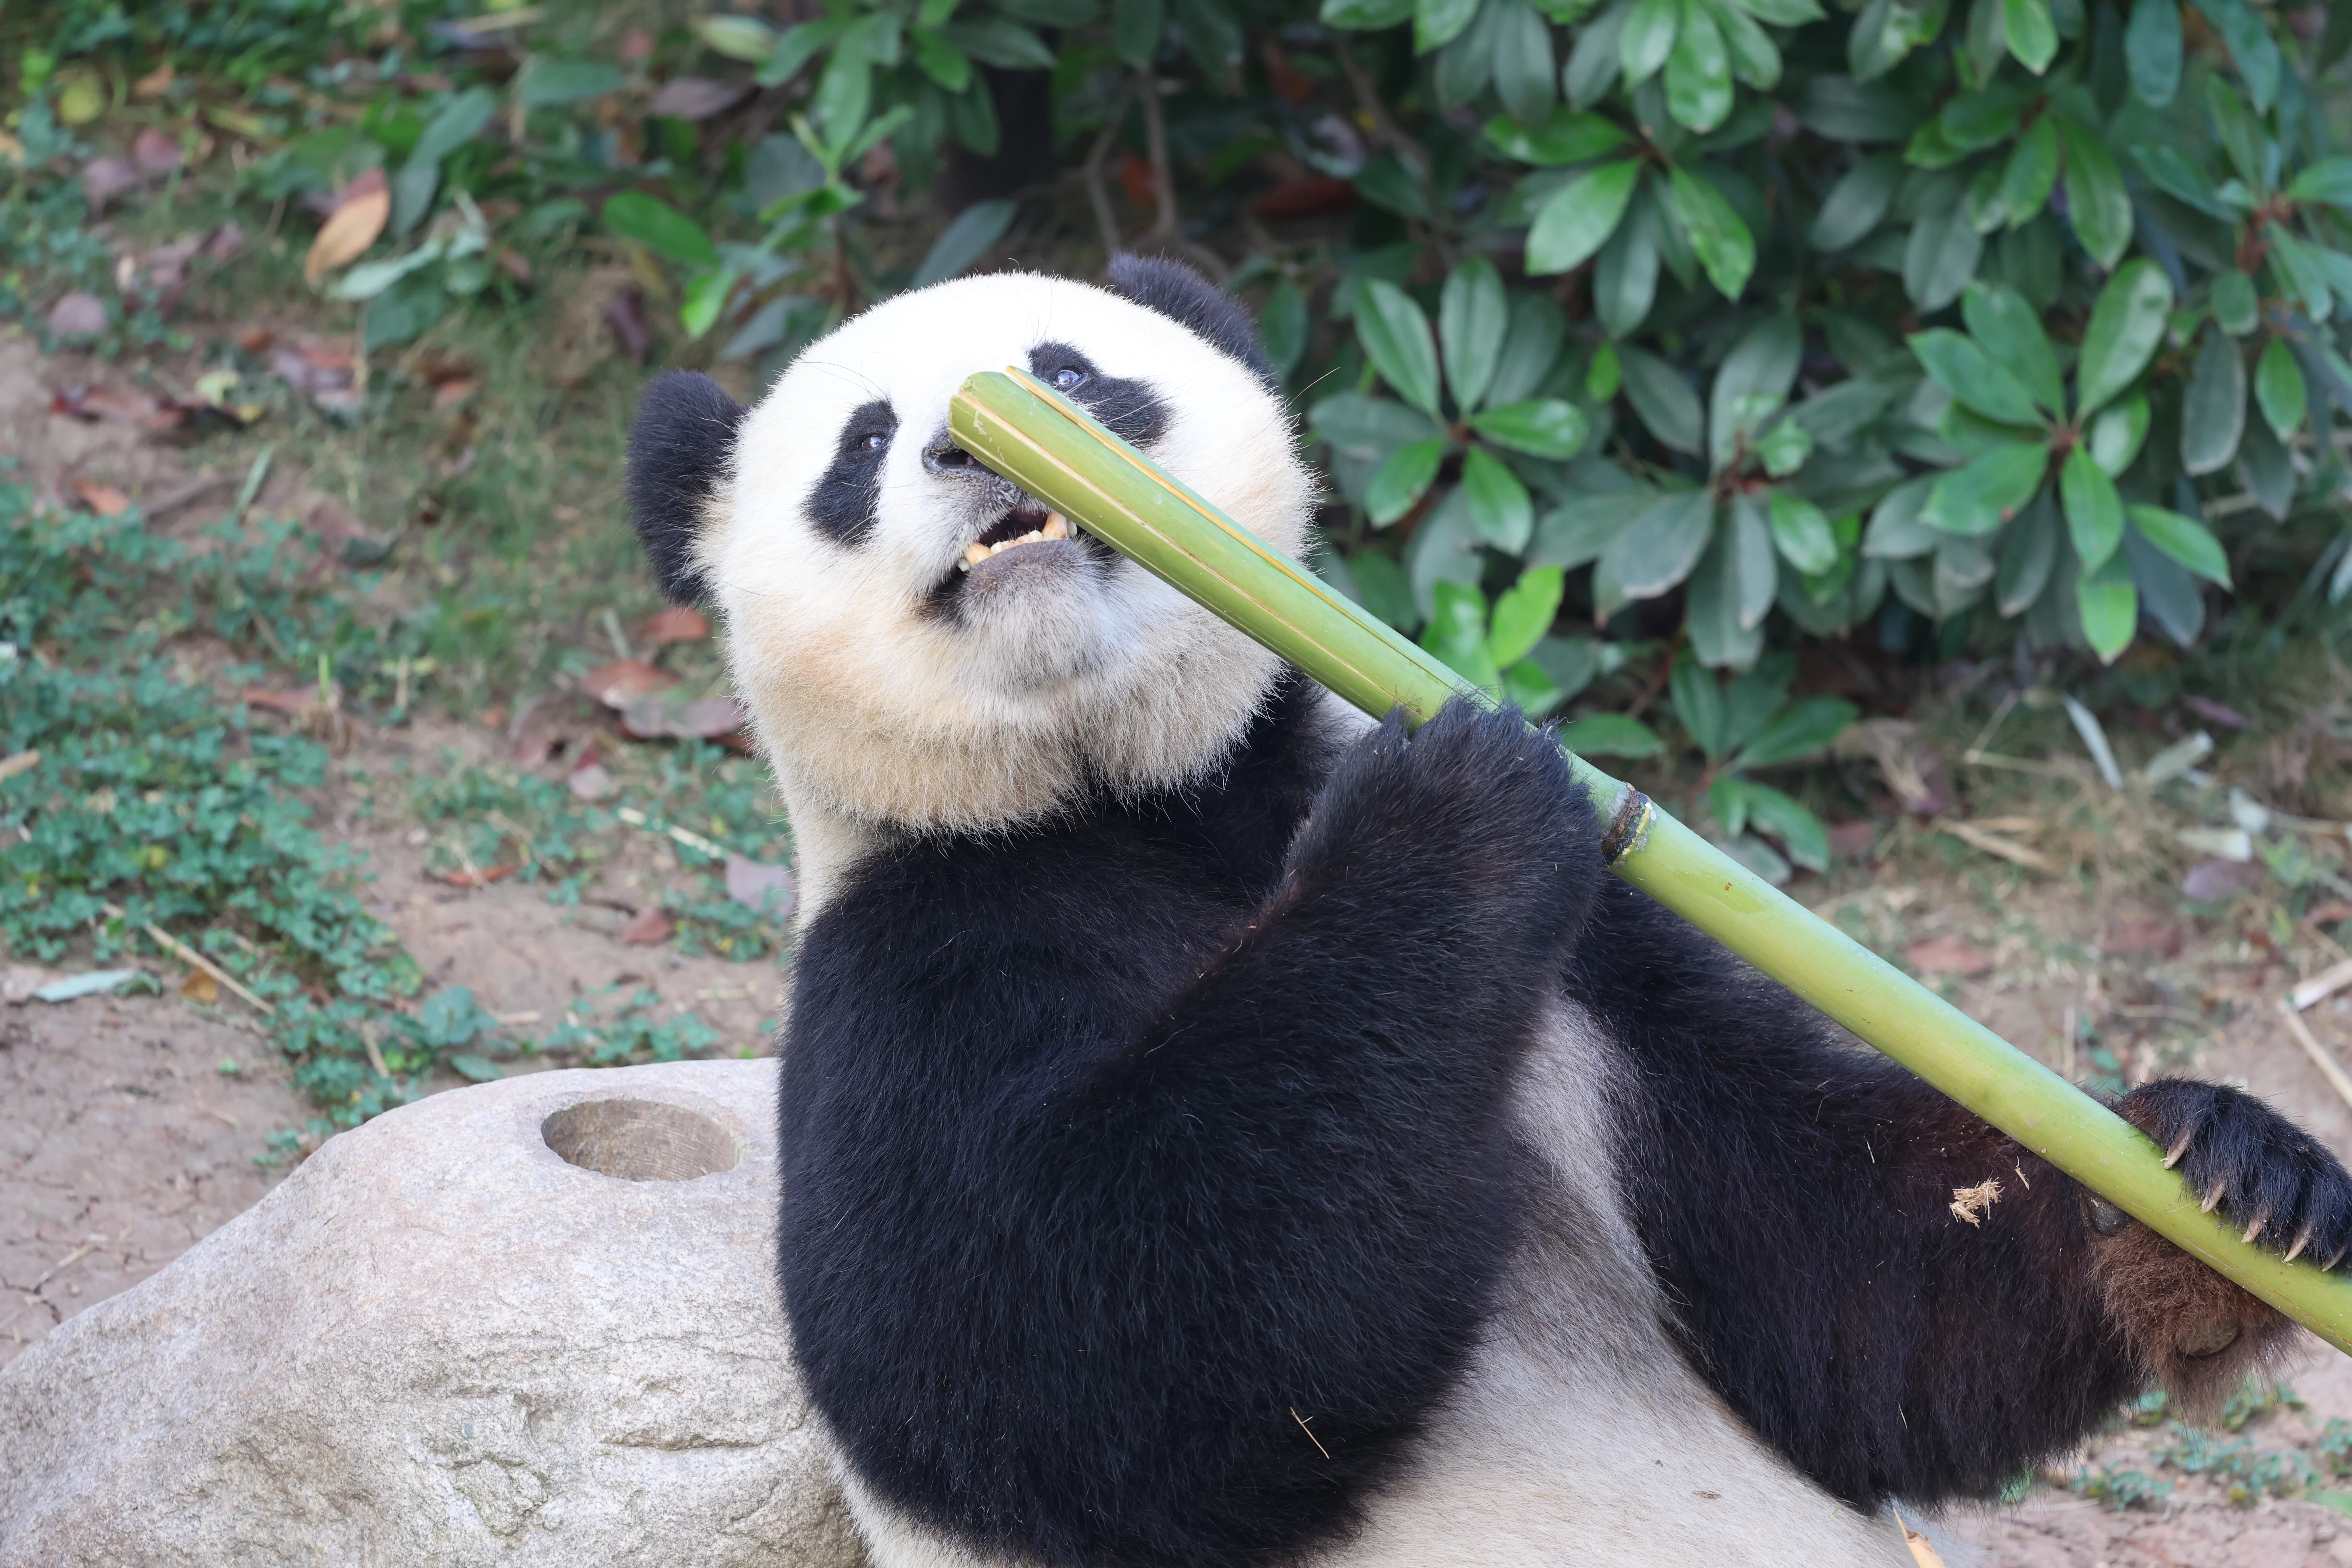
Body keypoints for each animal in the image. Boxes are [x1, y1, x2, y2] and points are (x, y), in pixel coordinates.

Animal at [627, 256, 2351, 1568]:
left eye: (1067, 368)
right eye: (859, 446)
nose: (975, 446)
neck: (1148, 803)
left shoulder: (1608, 967)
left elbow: (1847, 1303)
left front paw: (2221, 1188)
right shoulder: (914, 954)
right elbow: (1051, 1356)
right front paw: (1453, 807)